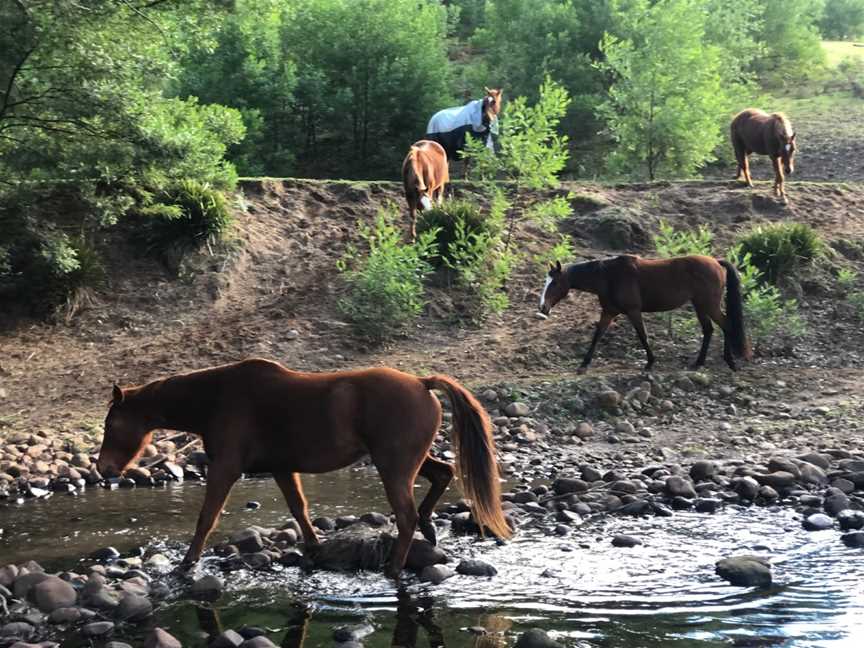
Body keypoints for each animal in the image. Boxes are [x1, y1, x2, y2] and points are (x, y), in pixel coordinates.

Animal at [97, 360, 510, 576]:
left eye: (112, 424)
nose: (103, 468)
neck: (217, 399)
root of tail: (423, 383)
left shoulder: (226, 467)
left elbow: (207, 517)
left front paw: (186, 563)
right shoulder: (282, 468)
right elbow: (299, 508)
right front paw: (314, 549)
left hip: (393, 466)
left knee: (406, 515)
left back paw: (394, 567)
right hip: (408, 461)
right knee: (442, 475)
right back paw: (428, 529)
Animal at [536, 256, 752, 372]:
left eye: (555, 283)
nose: (542, 307)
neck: (609, 276)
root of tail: (716, 261)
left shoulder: (633, 311)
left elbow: (642, 335)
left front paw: (650, 362)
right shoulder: (609, 312)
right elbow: (597, 335)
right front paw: (584, 363)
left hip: (709, 305)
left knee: (726, 326)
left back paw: (730, 362)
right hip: (700, 306)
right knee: (709, 330)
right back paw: (698, 363)